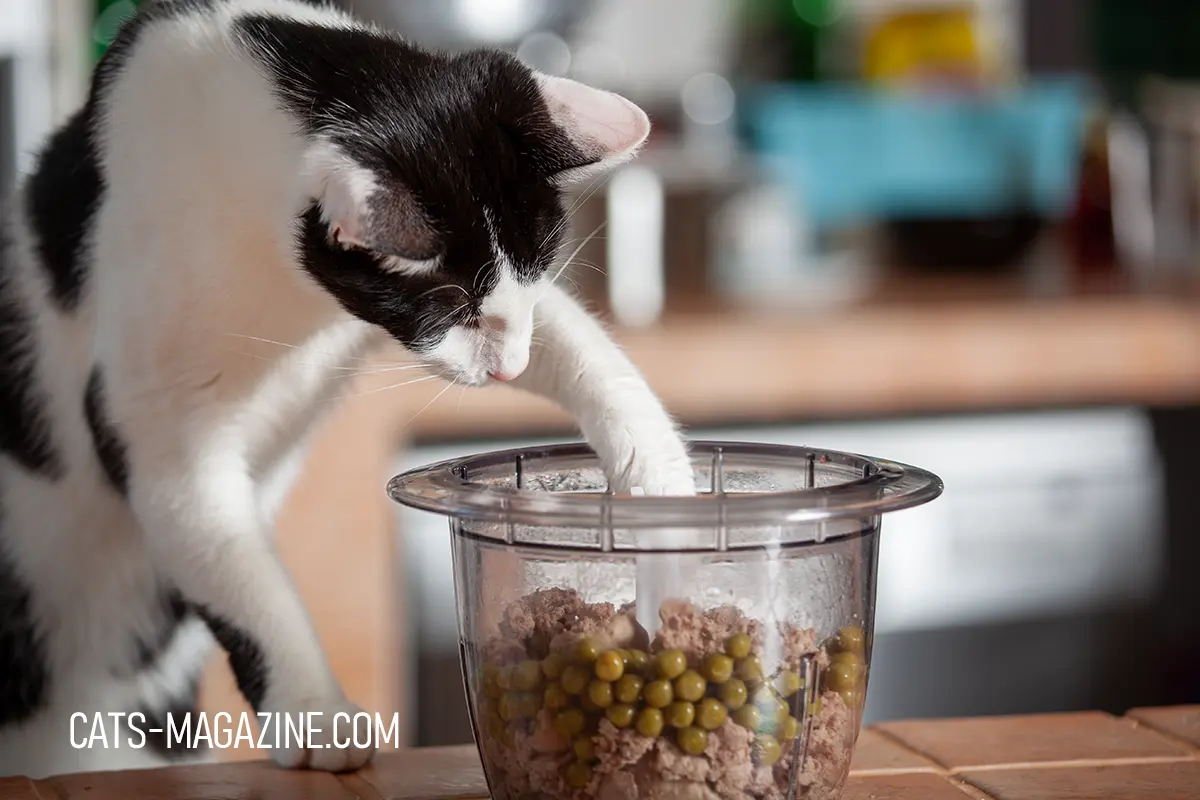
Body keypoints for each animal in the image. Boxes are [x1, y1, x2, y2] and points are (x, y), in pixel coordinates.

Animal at [0, 0, 696, 777]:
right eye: (452, 305)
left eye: (538, 268)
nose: (507, 371)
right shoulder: (153, 405)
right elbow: (228, 556)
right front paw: (314, 711)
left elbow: (576, 343)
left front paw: (657, 475)